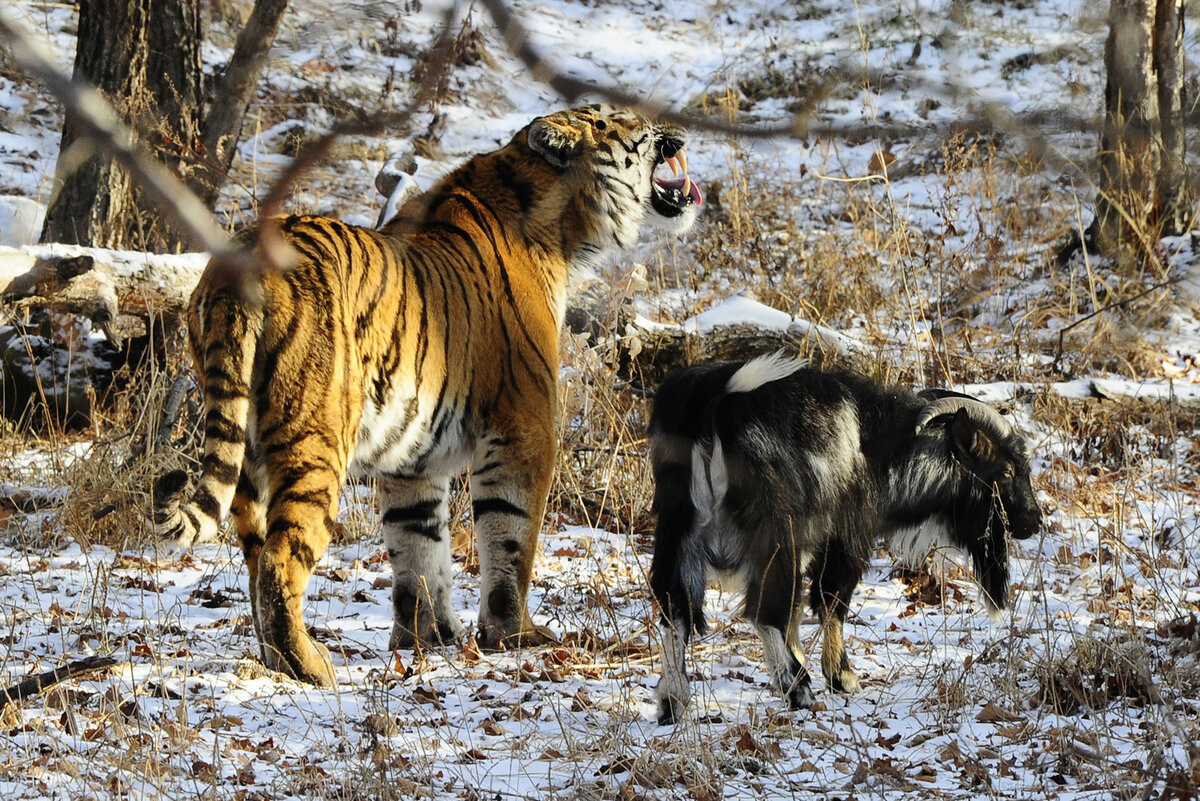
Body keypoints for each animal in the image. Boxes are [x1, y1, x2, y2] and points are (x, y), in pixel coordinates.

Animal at [157, 103, 700, 685]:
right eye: (622, 118)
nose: (679, 126)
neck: (561, 226)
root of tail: (236, 260)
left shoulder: (410, 456)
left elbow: (416, 548)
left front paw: (427, 639)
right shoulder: (523, 429)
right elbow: (512, 537)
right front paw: (515, 635)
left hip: (249, 450)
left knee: (256, 557)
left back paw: (274, 660)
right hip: (315, 443)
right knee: (282, 560)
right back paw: (311, 666)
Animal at [648, 352, 1041, 724]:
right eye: (1007, 470)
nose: (1033, 521)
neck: (876, 447)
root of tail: (714, 400)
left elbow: (798, 608)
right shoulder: (845, 536)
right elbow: (832, 600)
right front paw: (842, 676)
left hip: (677, 524)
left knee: (675, 606)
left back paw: (672, 701)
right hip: (774, 531)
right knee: (764, 610)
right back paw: (799, 690)